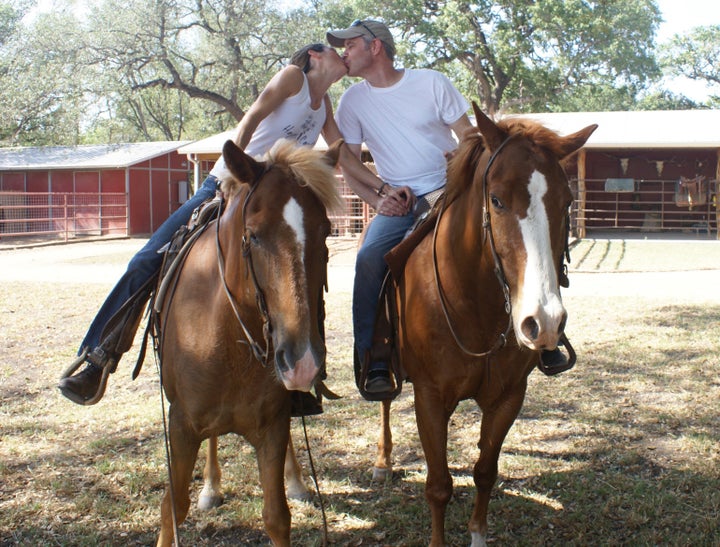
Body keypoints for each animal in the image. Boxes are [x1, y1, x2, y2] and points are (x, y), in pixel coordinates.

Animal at [154, 138, 344, 547]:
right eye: (254, 235)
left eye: (325, 232)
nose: (303, 361)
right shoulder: (181, 426)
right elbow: (172, 508)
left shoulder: (273, 425)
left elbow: (277, 516)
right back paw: (211, 488)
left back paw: (296, 481)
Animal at [376, 104, 596, 547]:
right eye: (496, 200)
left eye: (566, 201)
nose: (543, 322)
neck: (474, 308)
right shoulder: (429, 398)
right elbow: (439, 485)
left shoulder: (509, 396)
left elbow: (485, 471)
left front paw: (478, 532)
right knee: (386, 399)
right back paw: (382, 459)